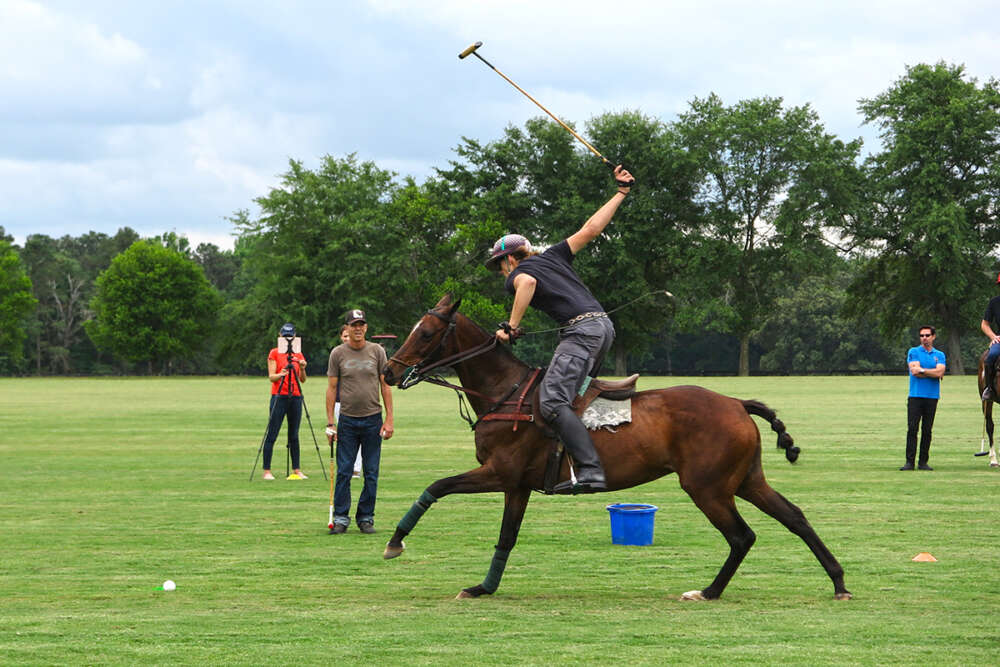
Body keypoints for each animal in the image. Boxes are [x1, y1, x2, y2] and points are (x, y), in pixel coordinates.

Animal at [382, 294, 852, 604]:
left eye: (426, 333)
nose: (389, 371)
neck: (507, 393)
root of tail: (737, 402)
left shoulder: (499, 473)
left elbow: (437, 486)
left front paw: (395, 542)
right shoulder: (517, 485)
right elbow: (506, 537)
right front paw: (484, 587)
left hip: (708, 486)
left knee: (741, 535)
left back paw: (709, 591)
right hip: (746, 480)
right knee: (794, 517)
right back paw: (838, 582)